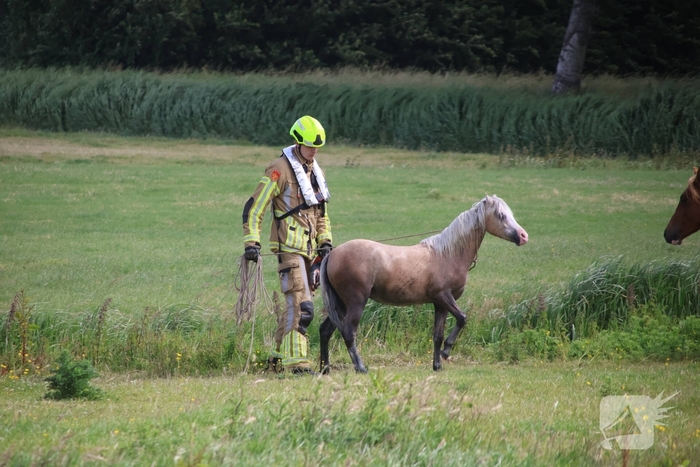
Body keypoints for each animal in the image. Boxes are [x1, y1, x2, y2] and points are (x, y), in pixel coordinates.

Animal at [318, 195, 529, 374]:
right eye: (501, 215)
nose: (523, 236)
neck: (447, 254)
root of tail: (333, 254)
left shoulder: (440, 305)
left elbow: (438, 335)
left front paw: (437, 365)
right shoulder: (444, 296)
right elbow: (462, 318)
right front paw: (446, 352)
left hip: (341, 304)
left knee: (326, 331)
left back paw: (325, 368)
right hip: (355, 302)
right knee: (348, 332)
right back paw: (360, 367)